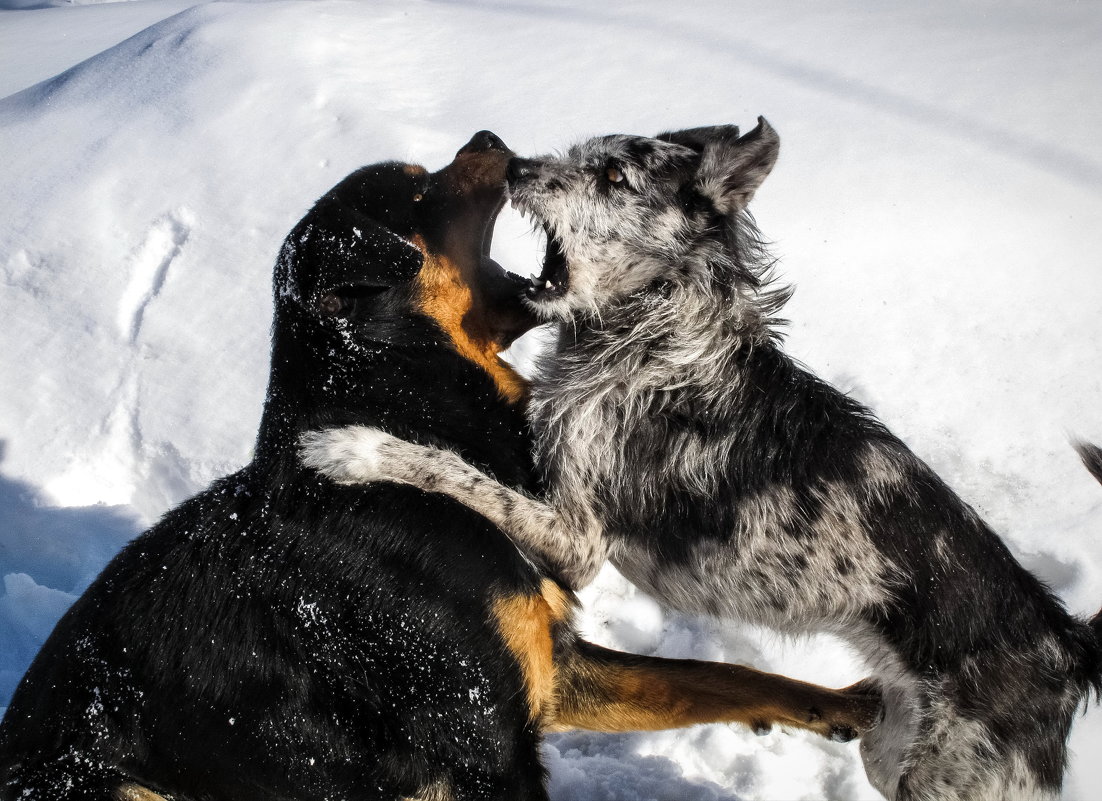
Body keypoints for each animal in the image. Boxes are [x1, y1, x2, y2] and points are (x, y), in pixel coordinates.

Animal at [0, 133, 877, 801]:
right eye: (419, 189)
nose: (488, 137)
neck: (407, 408)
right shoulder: (484, 739)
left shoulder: (545, 667)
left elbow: (711, 673)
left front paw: (850, 704)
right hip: (109, 783)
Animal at [301, 118, 1102, 801]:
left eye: (614, 177)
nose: (518, 165)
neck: (651, 333)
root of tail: (1067, 644)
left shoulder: (579, 541)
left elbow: (456, 472)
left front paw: (354, 448)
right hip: (894, 747)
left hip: (952, 778)